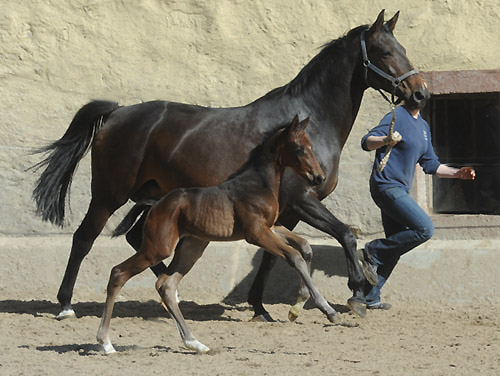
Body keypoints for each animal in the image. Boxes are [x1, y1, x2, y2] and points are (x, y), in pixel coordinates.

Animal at [96, 116, 340, 354]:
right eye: (299, 148)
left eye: (311, 146)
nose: (318, 177)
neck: (259, 183)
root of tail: (155, 204)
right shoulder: (256, 233)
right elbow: (294, 256)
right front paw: (327, 309)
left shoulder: (270, 227)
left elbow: (305, 246)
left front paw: (300, 306)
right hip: (158, 248)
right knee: (119, 273)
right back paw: (106, 343)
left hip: (191, 248)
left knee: (166, 285)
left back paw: (195, 343)